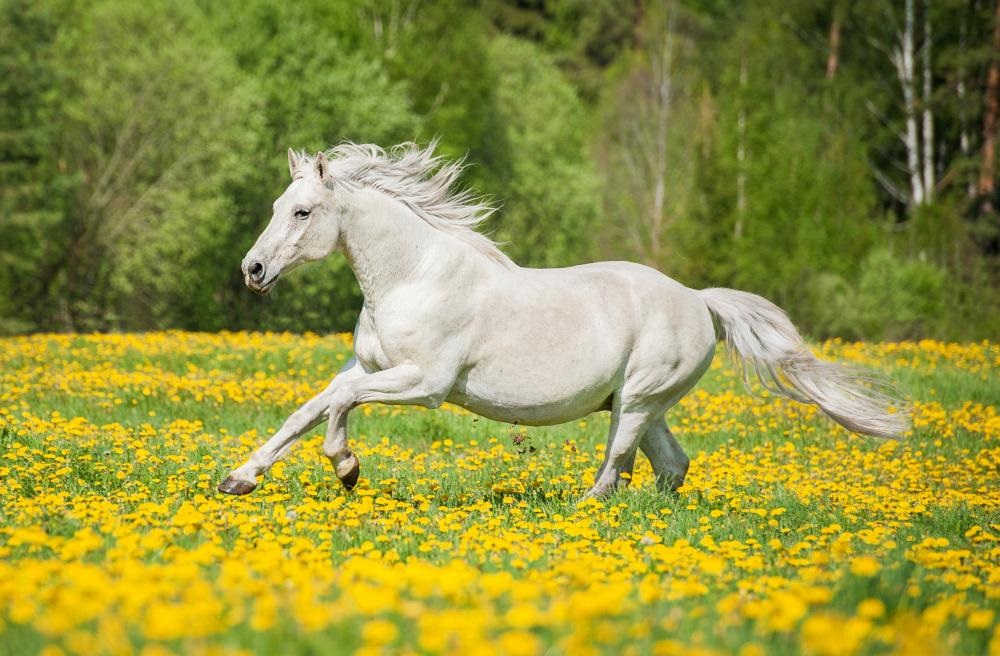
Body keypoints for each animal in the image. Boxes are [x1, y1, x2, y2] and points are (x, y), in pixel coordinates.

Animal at [217, 144, 908, 500]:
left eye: (303, 212)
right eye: (278, 205)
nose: (252, 269)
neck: (413, 275)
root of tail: (698, 299)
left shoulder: (426, 383)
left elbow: (340, 409)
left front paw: (347, 468)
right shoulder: (367, 366)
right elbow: (310, 409)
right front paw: (238, 480)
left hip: (637, 400)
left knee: (616, 467)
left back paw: (580, 518)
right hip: (639, 403)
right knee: (669, 465)